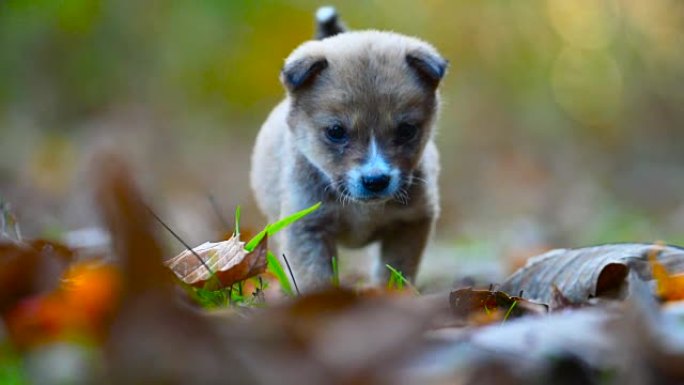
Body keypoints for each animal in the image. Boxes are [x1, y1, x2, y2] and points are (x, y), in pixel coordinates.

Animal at [248, 7, 446, 290]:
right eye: (335, 131)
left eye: (407, 130)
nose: (376, 180)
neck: (361, 210)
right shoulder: (306, 228)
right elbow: (315, 278)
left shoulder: (410, 223)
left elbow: (395, 272)